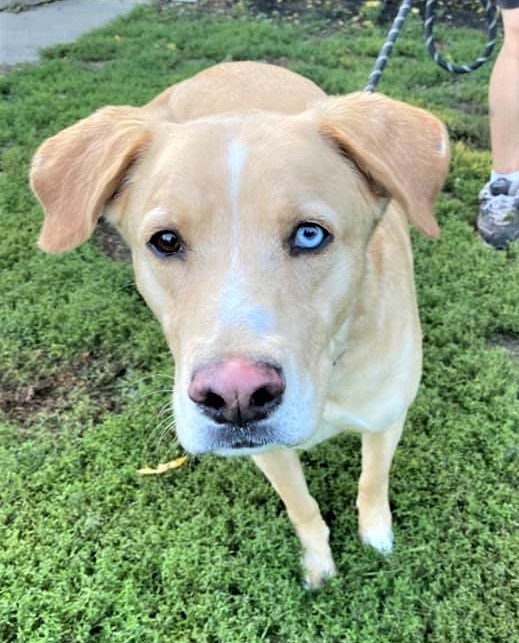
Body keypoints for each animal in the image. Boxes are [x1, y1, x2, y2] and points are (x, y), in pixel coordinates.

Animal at [30, 61, 448, 588]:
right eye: (166, 241)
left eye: (309, 235)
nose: (235, 397)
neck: (330, 373)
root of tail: (226, 65)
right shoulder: (267, 452)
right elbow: (302, 508)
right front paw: (319, 564)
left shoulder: (387, 418)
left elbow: (372, 481)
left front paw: (377, 538)